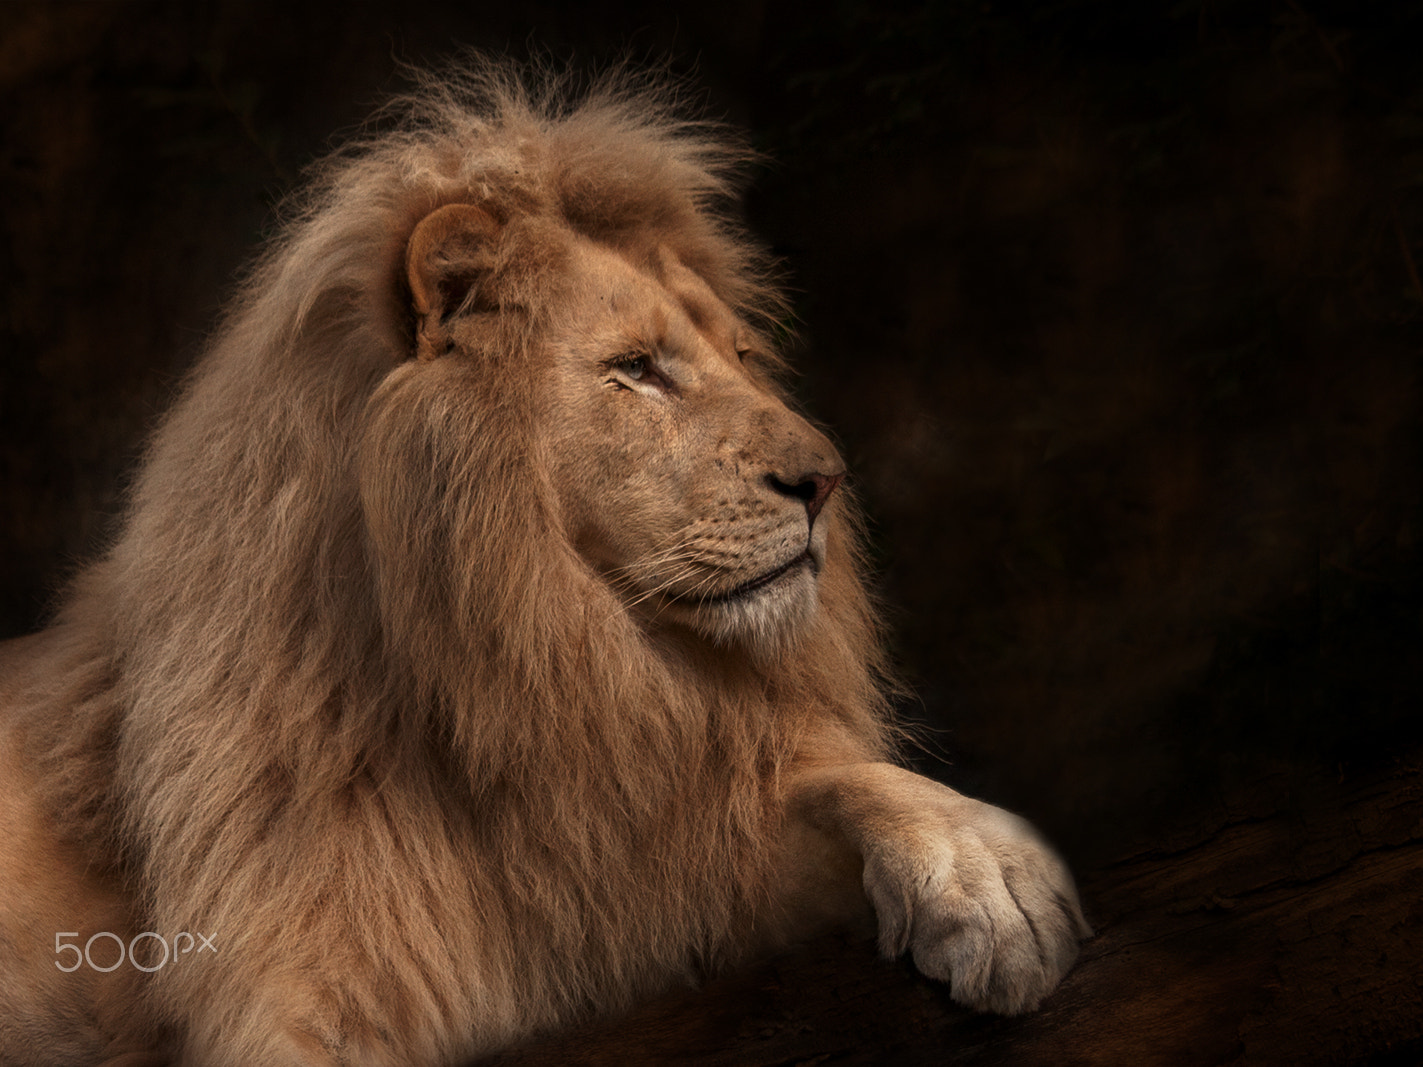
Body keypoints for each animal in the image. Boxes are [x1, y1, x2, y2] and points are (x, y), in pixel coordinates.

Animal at [0, 61, 1089, 1066]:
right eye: (636, 369)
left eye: (742, 356)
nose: (826, 479)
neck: (534, 683)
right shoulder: (311, 996)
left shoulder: (651, 873)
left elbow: (830, 781)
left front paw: (987, 874)